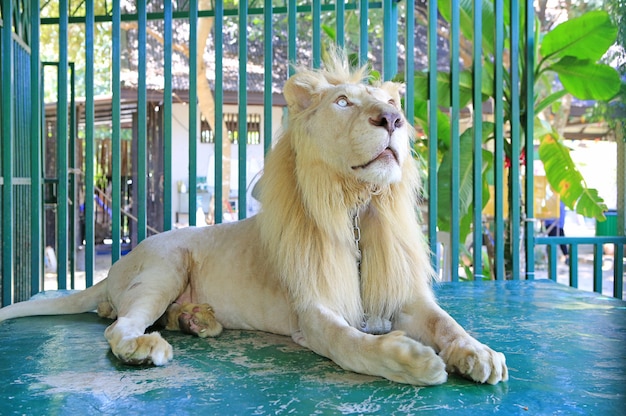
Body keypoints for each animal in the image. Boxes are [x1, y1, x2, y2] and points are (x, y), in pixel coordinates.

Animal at [0, 49, 508, 386]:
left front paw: (478, 352)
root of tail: (113, 272)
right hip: (166, 264)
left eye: (395, 106)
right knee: (117, 326)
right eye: (343, 101)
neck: (356, 207)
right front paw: (412, 360)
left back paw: (197, 320)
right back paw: (146, 347)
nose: (392, 119)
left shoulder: (403, 296)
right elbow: (349, 342)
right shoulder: (313, 309)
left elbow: (446, 323)